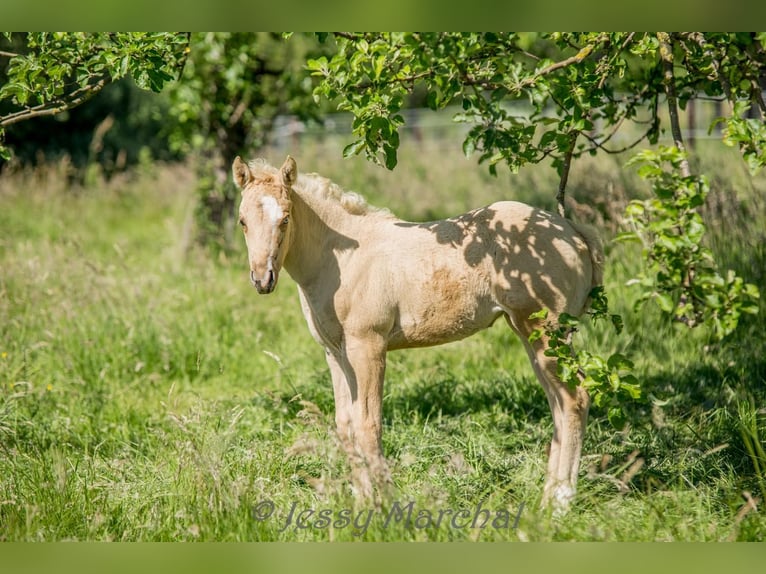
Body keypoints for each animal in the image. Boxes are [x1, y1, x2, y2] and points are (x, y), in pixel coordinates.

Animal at [233, 155, 604, 512]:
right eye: (242, 221)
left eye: (285, 218)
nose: (262, 279)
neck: (343, 260)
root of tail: (571, 230)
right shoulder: (336, 353)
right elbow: (346, 426)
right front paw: (363, 504)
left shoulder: (368, 346)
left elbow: (368, 425)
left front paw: (386, 505)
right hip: (530, 334)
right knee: (559, 404)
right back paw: (547, 499)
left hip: (546, 332)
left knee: (575, 398)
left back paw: (561, 502)